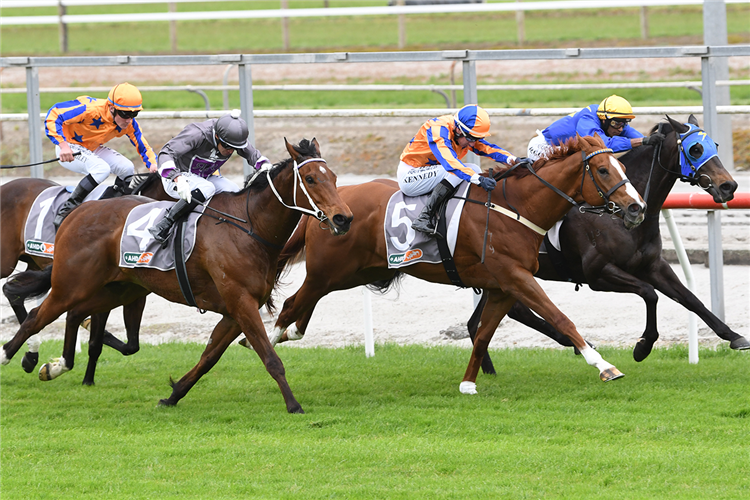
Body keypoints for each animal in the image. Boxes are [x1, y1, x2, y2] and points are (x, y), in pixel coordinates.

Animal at [0, 174, 170, 374]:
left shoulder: (133, 291)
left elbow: (131, 345)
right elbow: (96, 341)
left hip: (34, 263)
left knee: (13, 292)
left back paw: (31, 354)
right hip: (7, 262)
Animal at [268, 135, 648, 392]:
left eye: (623, 166)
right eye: (603, 169)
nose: (637, 207)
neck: (514, 208)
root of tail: (328, 207)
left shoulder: (503, 286)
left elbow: (482, 335)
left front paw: (468, 384)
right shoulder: (516, 277)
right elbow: (561, 318)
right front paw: (603, 365)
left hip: (351, 273)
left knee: (301, 308)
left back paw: (285, 335)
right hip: (327, 271)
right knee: (289, 305)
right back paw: (267, 344)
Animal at [472, 116, 748, 368]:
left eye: (715, 144)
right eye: (695, 149)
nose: (729, 186)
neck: (617, 213)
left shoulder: (653, 266)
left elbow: (691, 299)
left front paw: (734, 336)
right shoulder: (598, 274)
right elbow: (649, 293)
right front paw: (643, 346)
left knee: (483, 320)